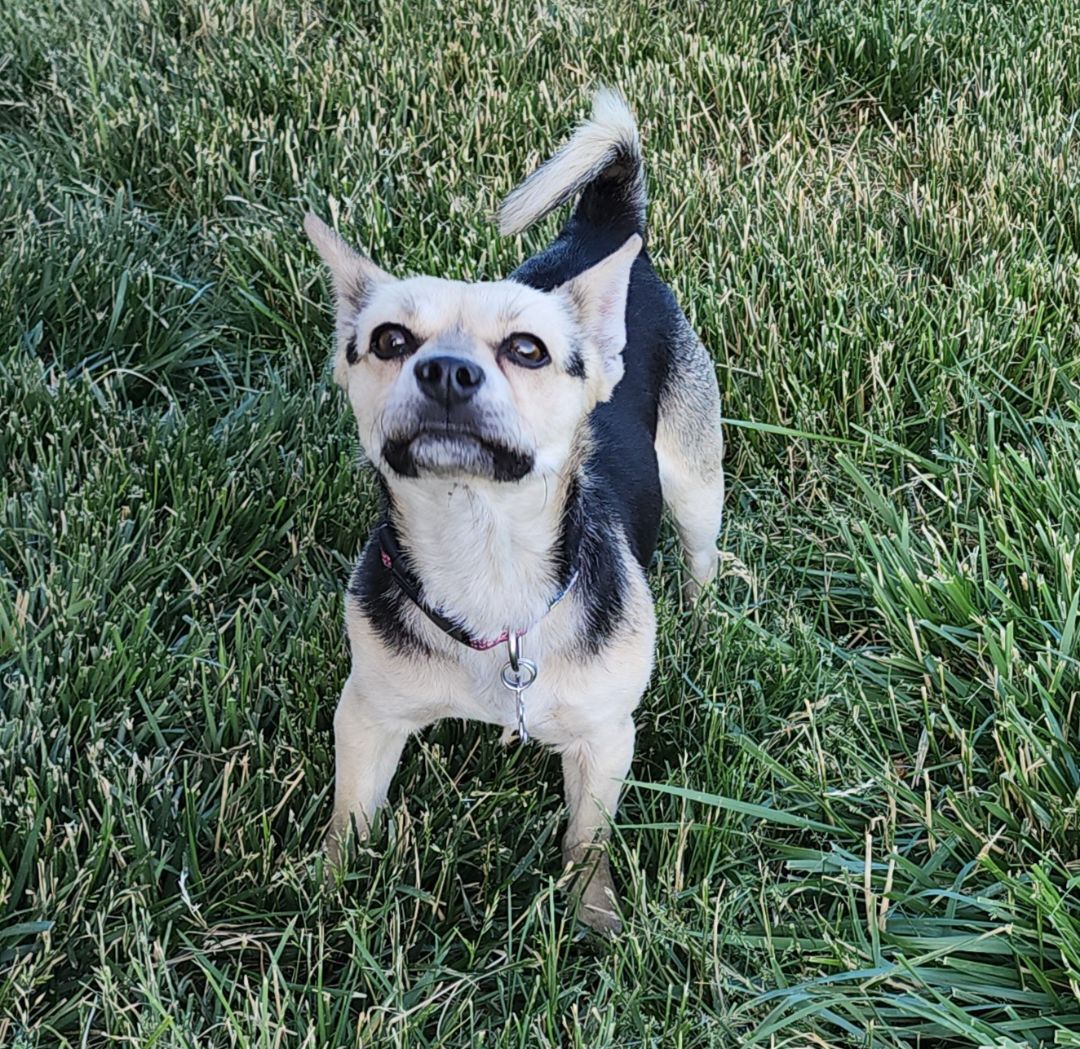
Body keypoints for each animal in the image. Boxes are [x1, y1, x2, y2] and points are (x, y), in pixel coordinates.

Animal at [304, 85, 725, 929]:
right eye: (389, 339)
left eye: (528, 350)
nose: (445, 370)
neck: (485, 550)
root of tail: (604, 230)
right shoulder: (366, 714)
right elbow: (350, 812)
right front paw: (328, 896)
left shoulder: (603, 738)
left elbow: (588, 836)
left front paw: (595, 918)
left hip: (697, 480)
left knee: (702, 550)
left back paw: (701, 613)